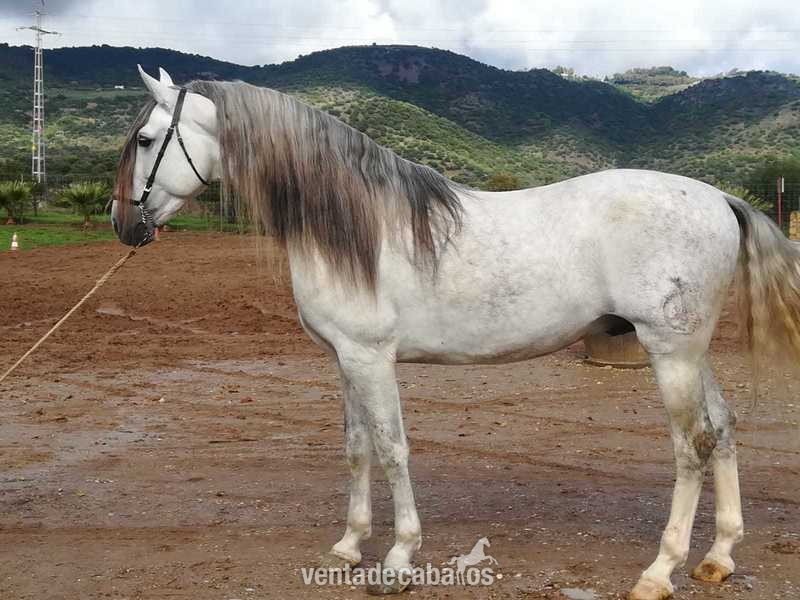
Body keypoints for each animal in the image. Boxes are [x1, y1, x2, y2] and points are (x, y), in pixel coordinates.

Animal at [112, 66, 800, 599]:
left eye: (146, 138)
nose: (123, 225)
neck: (356, 228)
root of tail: (719, 199)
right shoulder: (345, 361)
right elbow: (357, 448)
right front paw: (349, 545)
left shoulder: (371, 359)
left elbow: (392, 449)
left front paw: (398, 559)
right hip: (688, 350)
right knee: (723, 429)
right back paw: (719, 557)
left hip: (670, 353)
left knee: (692, 447)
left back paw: (660, 571)